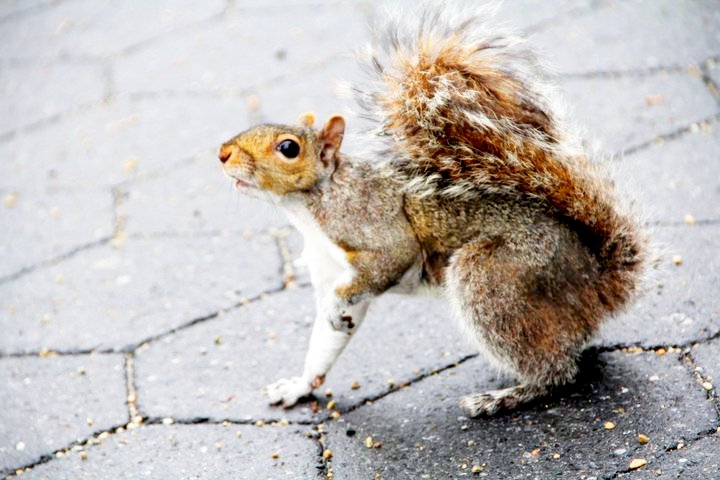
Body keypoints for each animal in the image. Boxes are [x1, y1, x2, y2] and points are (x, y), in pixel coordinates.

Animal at [217, 4, 646, 417]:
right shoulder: (329, 271)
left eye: (288, 148)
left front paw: (336, 312)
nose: (222, 153)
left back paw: (505, 396)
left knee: (558, 371)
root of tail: (597, 282)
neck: (308, 210)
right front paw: (300, 386)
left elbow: (391, 255)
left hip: (496, 278)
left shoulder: (372, 224)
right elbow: (330, 337)